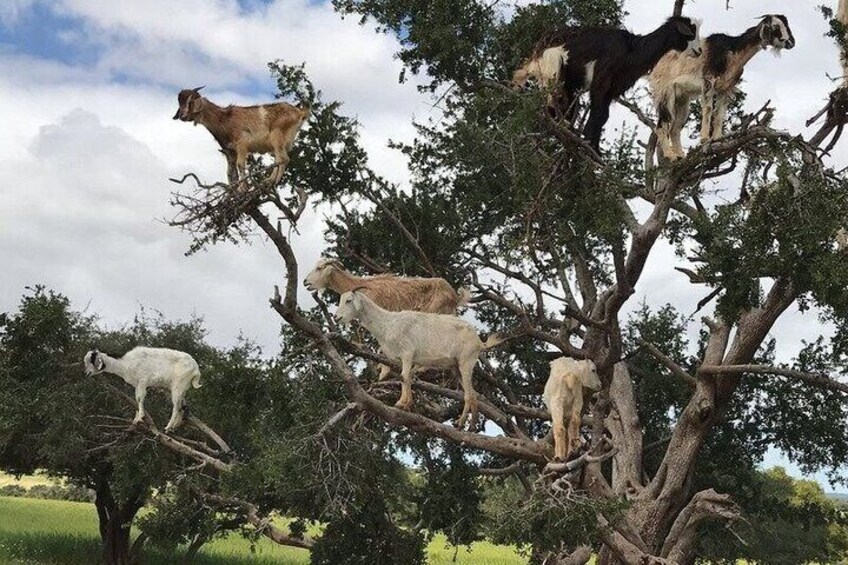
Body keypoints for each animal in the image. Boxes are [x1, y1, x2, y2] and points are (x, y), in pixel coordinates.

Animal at [173, 86, 310, 186]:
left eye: (190, 102)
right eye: (180, 104)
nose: (182, 116)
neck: (224, 119)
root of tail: (299, 112)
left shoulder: (242, 144)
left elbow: (241, 165)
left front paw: (244, 187)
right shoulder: (230, 152)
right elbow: (231, 172)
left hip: (277, 136)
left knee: (283, 159)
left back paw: (271, 181)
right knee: (279, 159)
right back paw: (270, 181)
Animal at [335, 289, 501, 429]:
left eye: (348, 300)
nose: (337, 317)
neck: (388, 324)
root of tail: (479, 341)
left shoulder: (407, 353)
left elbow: (403, 377)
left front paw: (401, 404)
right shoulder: (405, 359)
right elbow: (407, 378)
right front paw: (407, 404)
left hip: (466, 361)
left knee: (468, 394)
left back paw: (461, 423)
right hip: (456, 367)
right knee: (472, 394)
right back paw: (471, 426)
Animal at [513, 16, 701, 152]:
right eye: (690, 33)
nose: (699, 51)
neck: (631, 50)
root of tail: (536, 51)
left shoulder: (612, 89)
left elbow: (603, 117)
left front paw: (595, 149)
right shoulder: (601, 81)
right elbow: (597, 115)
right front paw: (590, 146)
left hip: (567, 83)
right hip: (553, 71)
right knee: (551, 105)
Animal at [650, 15, 795, 159]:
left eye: (787, 24)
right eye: (776, 26)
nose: (791, 42)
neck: (732, 52)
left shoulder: (725, 88)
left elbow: (720, 113)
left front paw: (717, 139)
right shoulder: (708, 80)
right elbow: (708, 109)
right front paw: (705, 140)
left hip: (682, 99)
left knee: (674, 129)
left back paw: (681, 155)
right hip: (665, 92)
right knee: (661, 124)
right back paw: (671, 155)